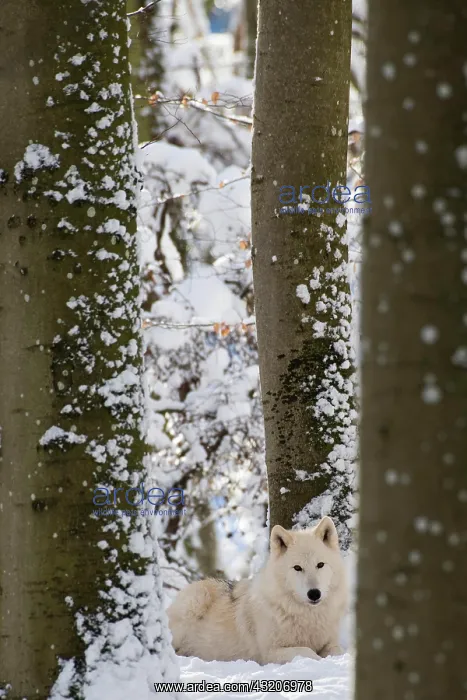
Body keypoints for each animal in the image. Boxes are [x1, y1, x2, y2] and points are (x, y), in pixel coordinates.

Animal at [167, 516, 347, 664]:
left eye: (320, 565)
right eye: (297, 568)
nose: (314, 593)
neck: (307, 616)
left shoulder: (331, 643)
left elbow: (338, 651)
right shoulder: (270, 653)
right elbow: (309, 652)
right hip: (196, 600)